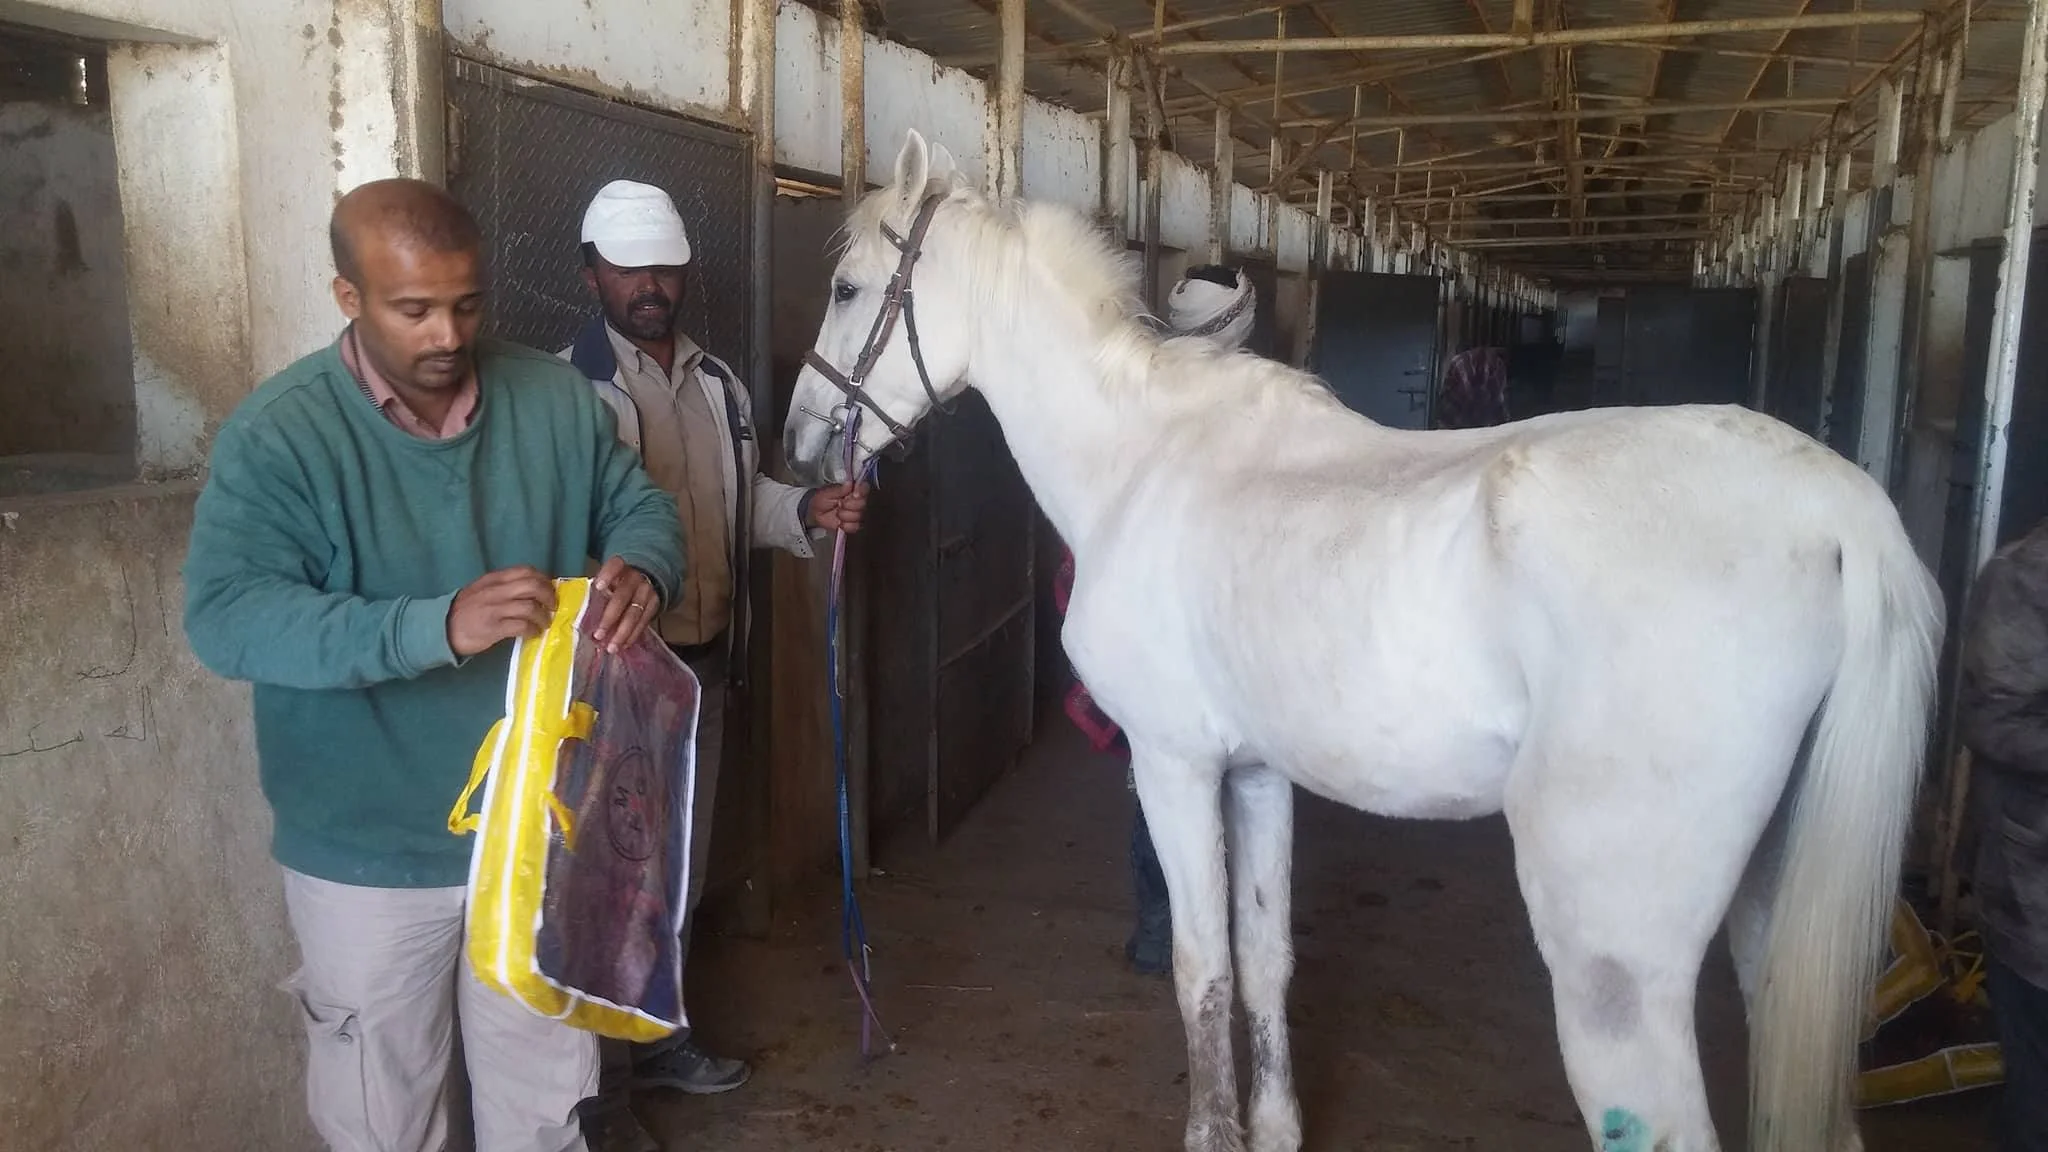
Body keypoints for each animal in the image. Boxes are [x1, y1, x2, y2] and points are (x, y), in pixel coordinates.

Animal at [784, 129, 1944, 1152]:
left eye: (846, 292)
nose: (802, 443)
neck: (1144, 461)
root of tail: (1840, 512)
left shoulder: (1172, 764)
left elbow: (1200, 968)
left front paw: (1213, 1133)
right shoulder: (1255, 772)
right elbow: (1265, 958)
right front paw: (1276, 1129)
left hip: (1613, 961)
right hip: (1776, 927)